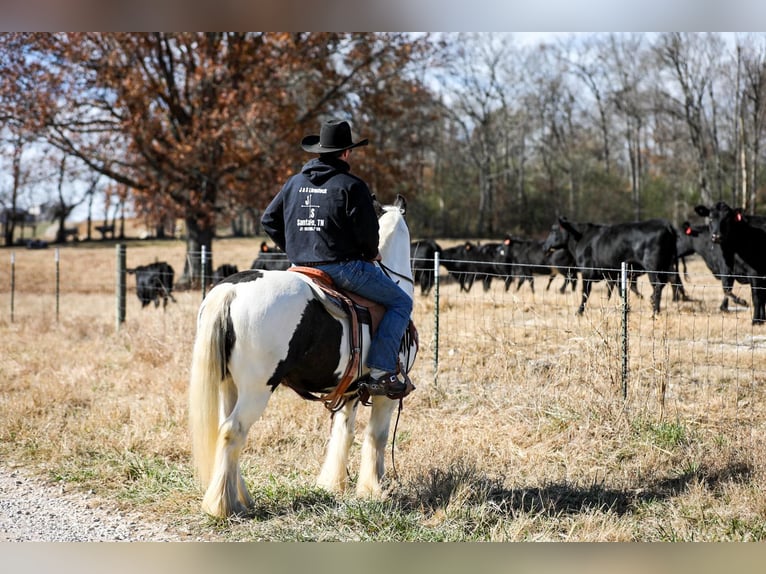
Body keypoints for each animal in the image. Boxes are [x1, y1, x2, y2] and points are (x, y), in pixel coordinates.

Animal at [190, 196, 420, 520]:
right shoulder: (386, 392)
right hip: (256, 390)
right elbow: (377, 436)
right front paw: (373, 489)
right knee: (232, 432)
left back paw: (240, 497)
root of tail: (230, 292)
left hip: (229, 386)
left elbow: (343, 433)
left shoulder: (350, 391)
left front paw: (334, 484)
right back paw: (223, 505)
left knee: (227, 431)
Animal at [544, 218, 684, 318]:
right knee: (668, 281)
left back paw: (655, 312)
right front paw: (626, 308)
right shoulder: (614, 274)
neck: (581, 238)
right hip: (666, 264)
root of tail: (665, 224)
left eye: (553, 230)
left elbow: (585, 293)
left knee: (658, 285)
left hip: (653, 266)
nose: (545, 246)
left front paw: (579, 312)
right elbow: (620, 291)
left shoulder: (586, 272)